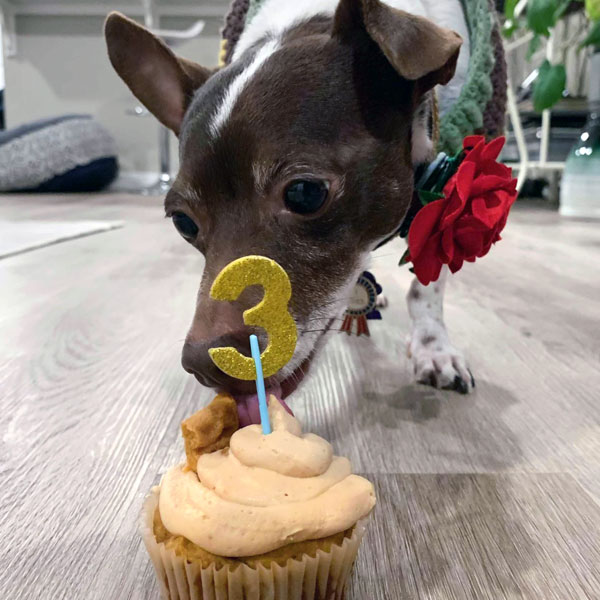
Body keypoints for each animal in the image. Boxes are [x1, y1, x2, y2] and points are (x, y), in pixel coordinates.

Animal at [105, 0, 476, 418]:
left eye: (304, 193)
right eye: (184, 223)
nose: (206, 366)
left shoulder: (452, 202)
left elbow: (427, 284)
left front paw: (434, 347)